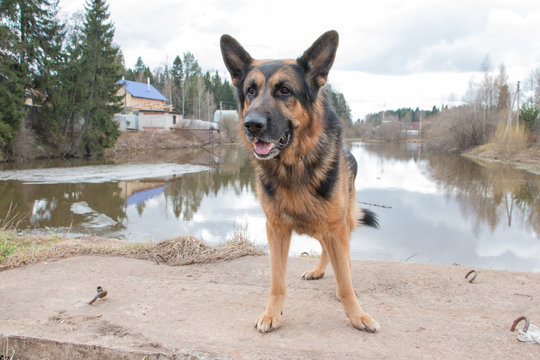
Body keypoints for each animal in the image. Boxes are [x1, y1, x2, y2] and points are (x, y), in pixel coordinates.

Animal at [219, 31, 380, 334]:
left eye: (285, 90)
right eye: (250, 91)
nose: (252, 125)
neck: (293, 166)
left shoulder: (335, 227)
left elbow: (345, 281)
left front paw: (357, 315)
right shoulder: (276, 229)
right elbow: (277, 280)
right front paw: (272, 313)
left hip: (337, 222)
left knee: (342, 257)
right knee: (326, 250)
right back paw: (318, 270)